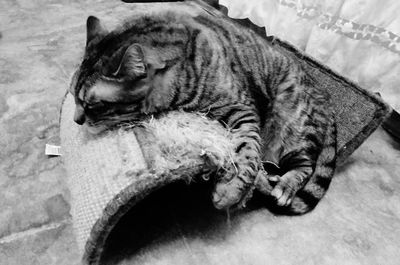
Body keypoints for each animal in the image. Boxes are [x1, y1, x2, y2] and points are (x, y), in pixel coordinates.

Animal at [69, 9, 338, 213]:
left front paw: (231, 191)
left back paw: (284, 186)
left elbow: (249, 152)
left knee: (307, 165)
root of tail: (321, 91)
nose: (76, 120)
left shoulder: (243, 110)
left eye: (93, 105)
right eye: (72, 95)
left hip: (290, 129)